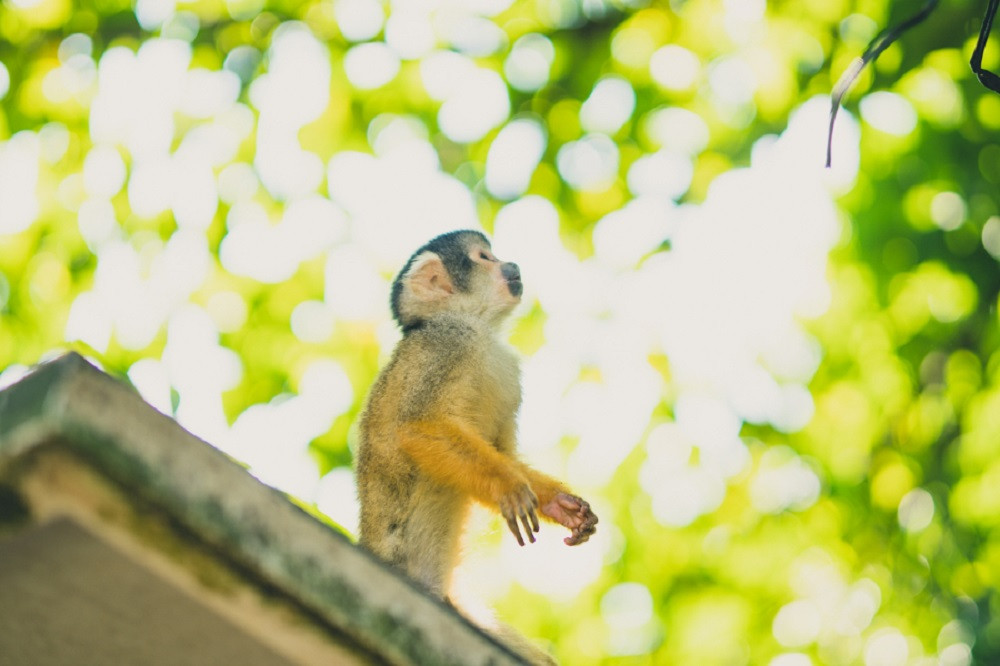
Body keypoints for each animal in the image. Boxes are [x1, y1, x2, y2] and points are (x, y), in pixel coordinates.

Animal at [358, 228, 596, 596]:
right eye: (485, 258)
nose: (511, 264)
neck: (472, 322)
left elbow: (501, 452)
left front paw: (558, 504)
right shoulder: (447, 345)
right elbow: (418, 426)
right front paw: (507, 485)